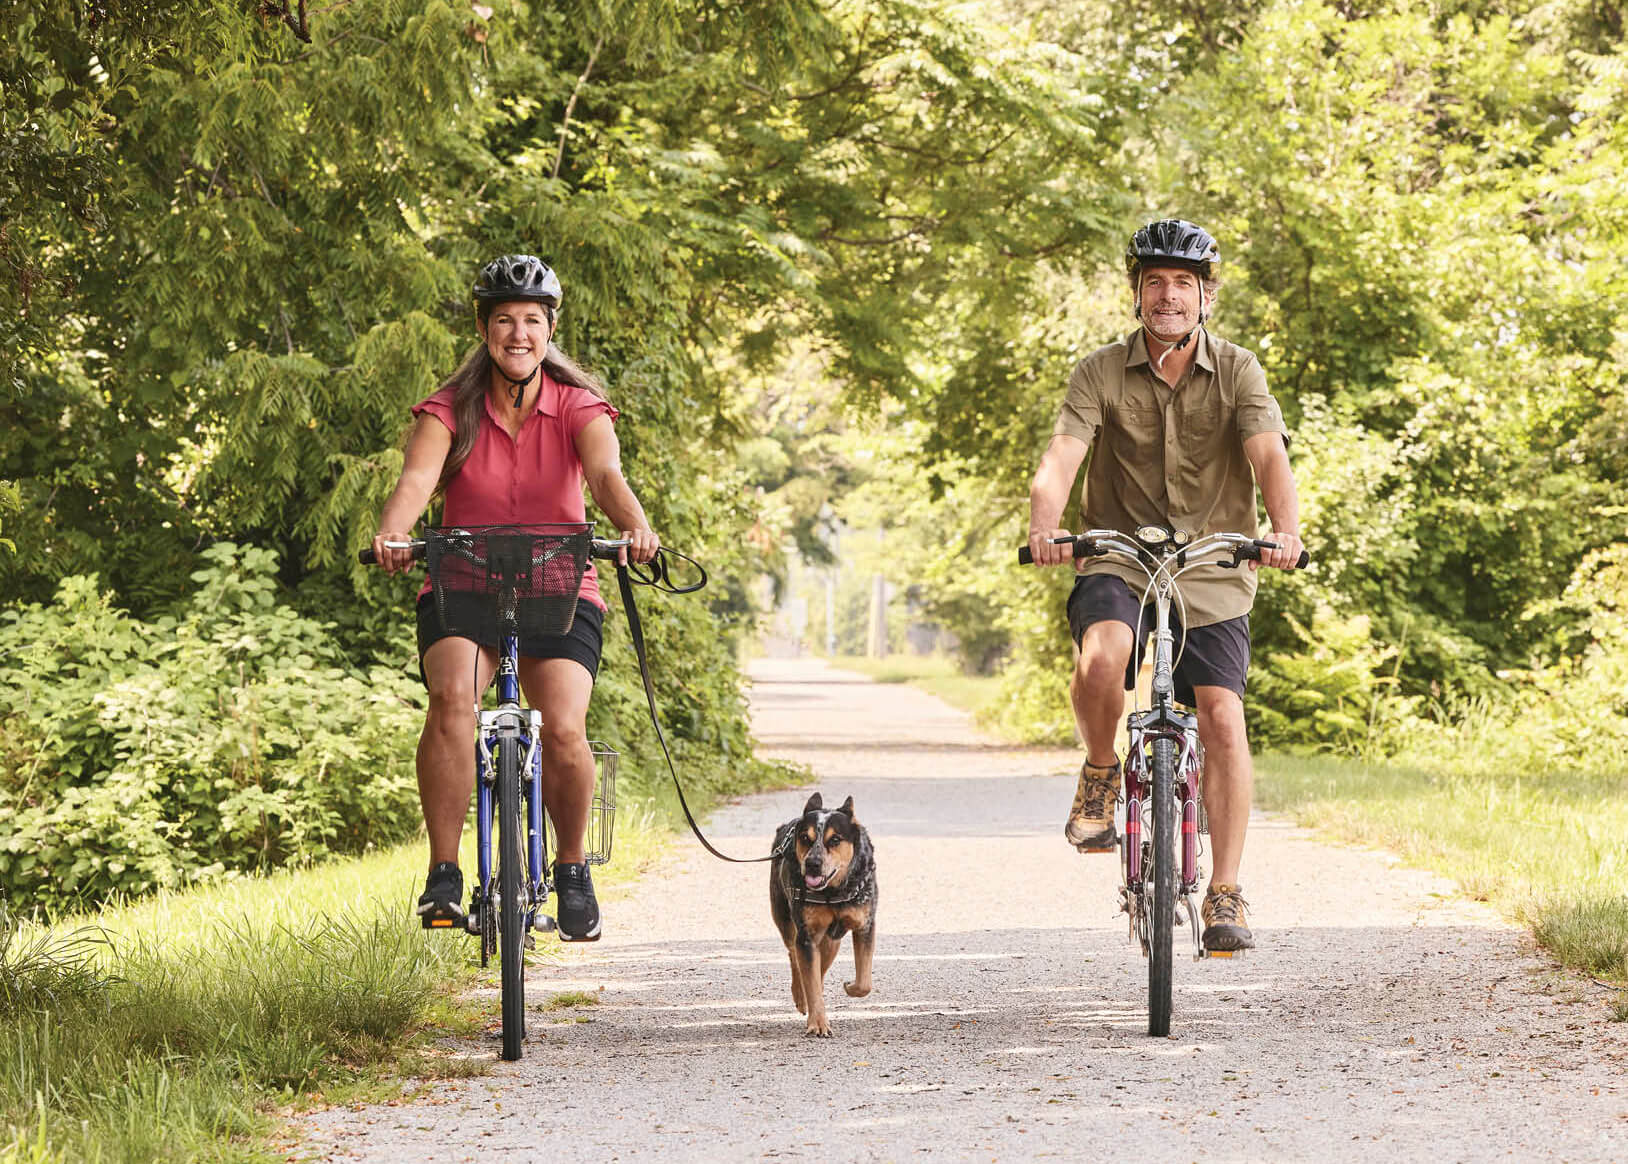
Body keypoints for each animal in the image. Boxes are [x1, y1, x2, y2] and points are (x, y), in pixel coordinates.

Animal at [765, 791, 872, 1035]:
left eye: (835, 840)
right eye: (806, 838)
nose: (813, 863)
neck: (832, 892)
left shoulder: (864, 924)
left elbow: (864, 982)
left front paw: (850, 987)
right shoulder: (807, 935)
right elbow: (810, 980)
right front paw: (818, 1024)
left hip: (832, 940)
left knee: (820, 967)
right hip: (785, 921)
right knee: (794, 955)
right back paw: (800, 996)